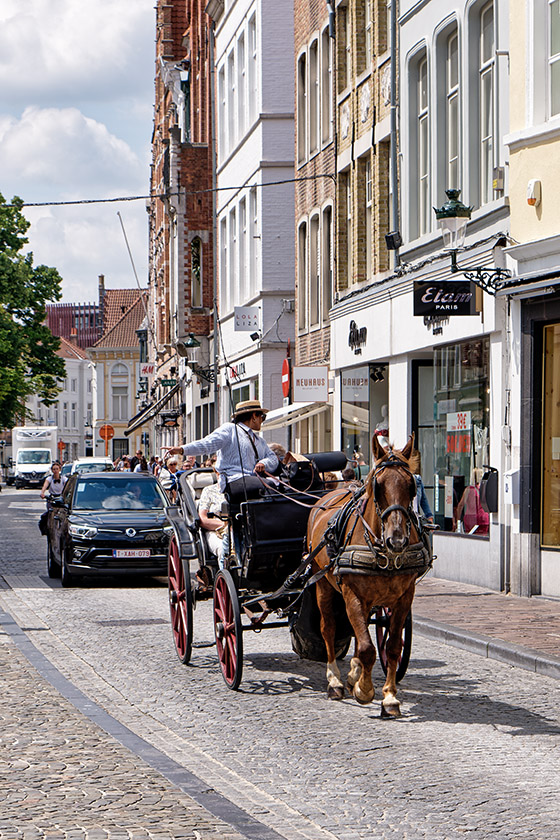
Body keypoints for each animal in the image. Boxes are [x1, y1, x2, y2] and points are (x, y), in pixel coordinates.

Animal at [306, 434, 428, 716]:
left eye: (411, 485)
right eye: (378, 485)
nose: (397, 540)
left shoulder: (404, 598)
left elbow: (391, 647)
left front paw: (389, 697)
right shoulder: (353, 594)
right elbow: (367, 648)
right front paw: (364, 690)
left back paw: (352, 674)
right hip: (323, 584)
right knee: (328, 628)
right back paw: (335, 681)